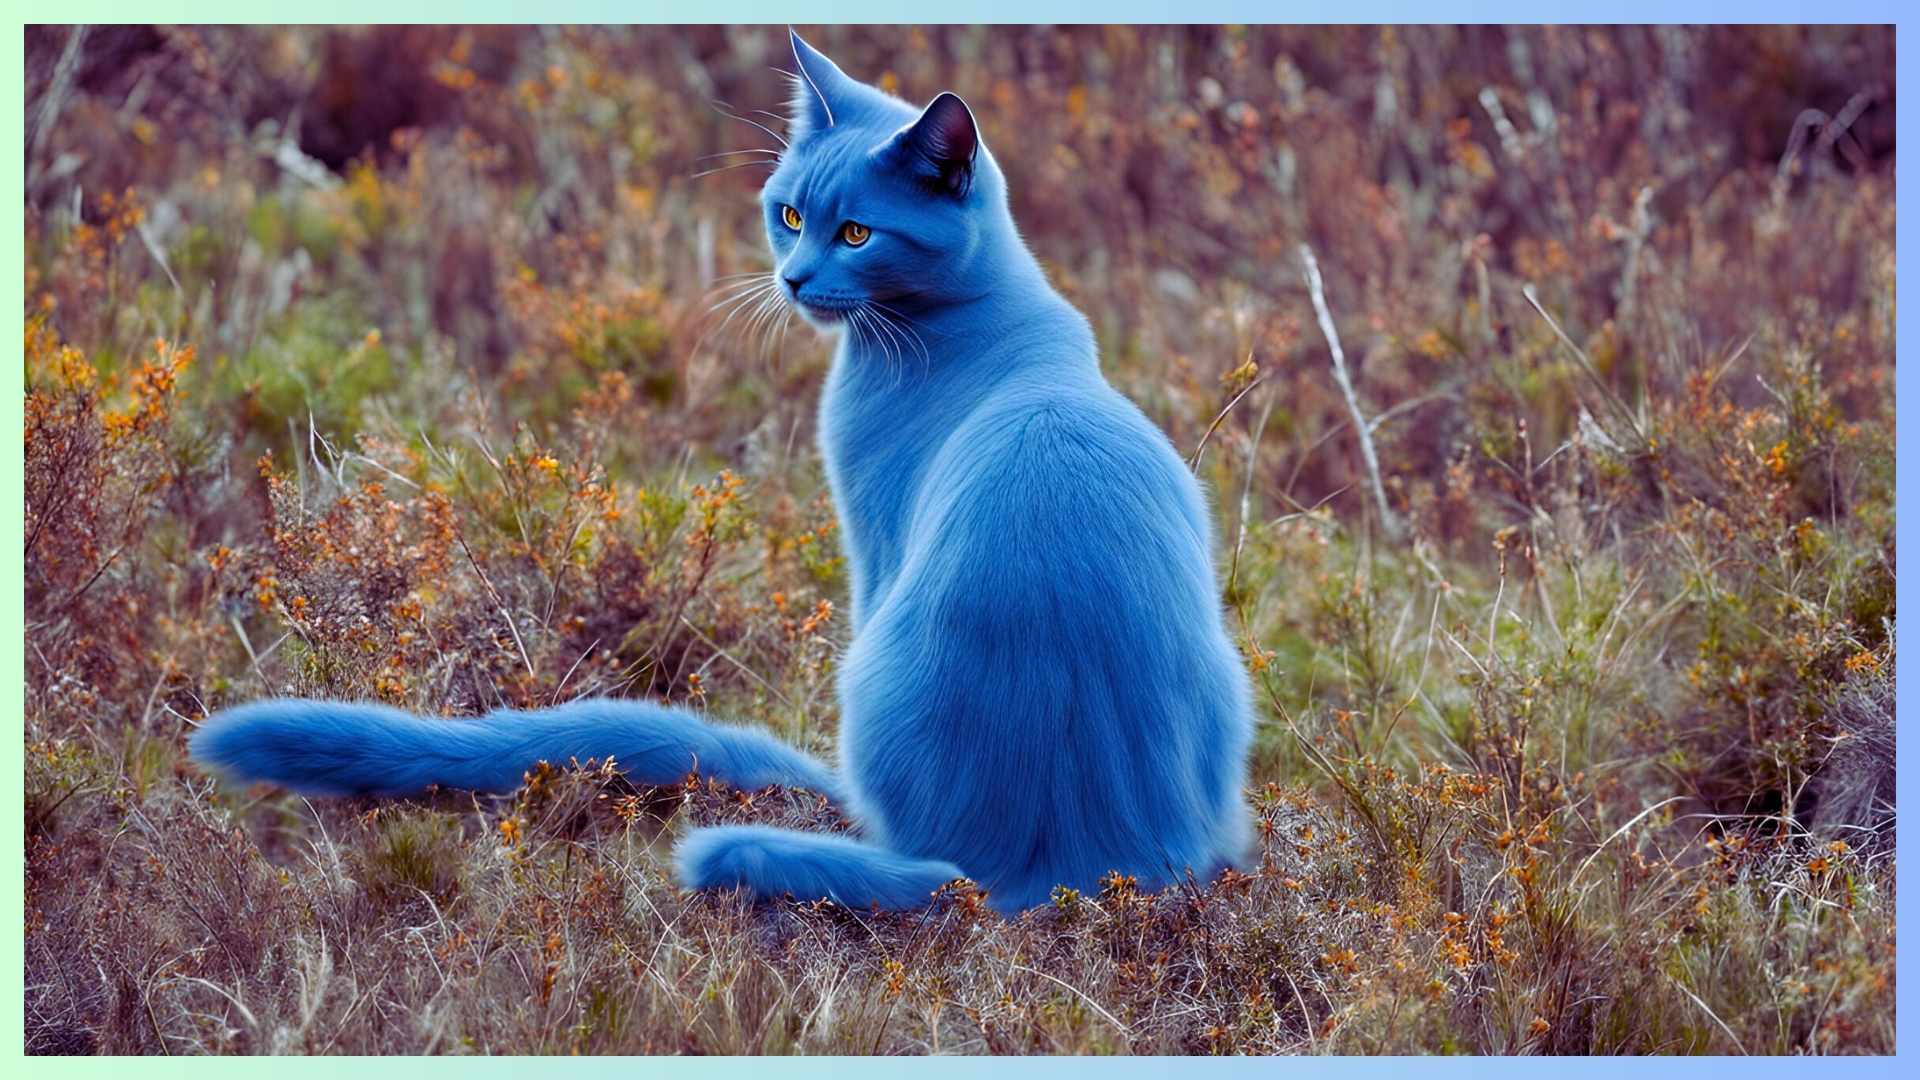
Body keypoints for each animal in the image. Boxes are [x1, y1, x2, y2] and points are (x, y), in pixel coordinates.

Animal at [187, 31, 1251, 907]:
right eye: (787, 213)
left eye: (856, 233)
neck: (969, 319)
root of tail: (1053, 870)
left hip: (872, 660)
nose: (792, 278)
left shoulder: (873, 538)